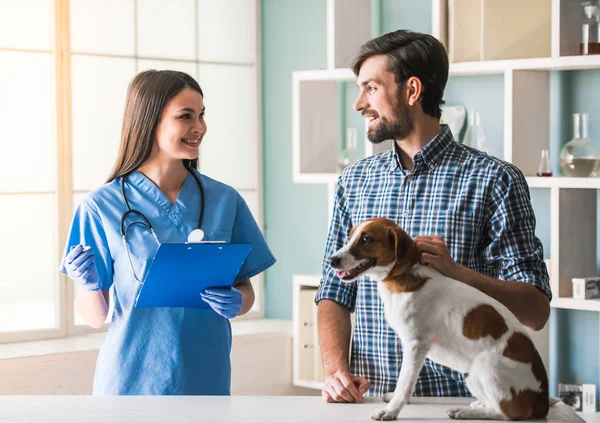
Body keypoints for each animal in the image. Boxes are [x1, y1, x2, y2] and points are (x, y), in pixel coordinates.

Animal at [330, 219, 552, 420]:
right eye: (350, 236)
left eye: (365, 239)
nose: (332, 260)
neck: (402, 278)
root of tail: (541, 400)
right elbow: (408, 381)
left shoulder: (415, 345)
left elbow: (405, 382)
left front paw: (392, 410)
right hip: (473, 376)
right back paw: (477, 405)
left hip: (484, 367)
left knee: (506, 412)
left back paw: (464, 412)